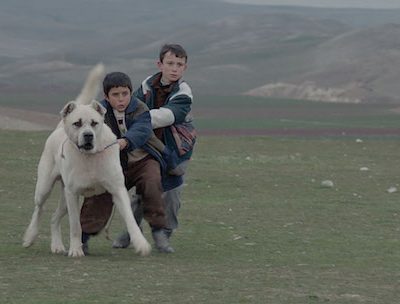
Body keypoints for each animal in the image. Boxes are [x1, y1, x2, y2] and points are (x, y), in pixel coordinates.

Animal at [23, 63, 152, 256]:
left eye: (94, 123)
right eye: (77, 123)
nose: (88, 135)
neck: (90, 157)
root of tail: (59, 128)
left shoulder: (117, 190)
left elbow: (130, 220)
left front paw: (141, 243)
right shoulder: (73, 193)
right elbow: (76, 225)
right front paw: (76, 250)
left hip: (64, 198)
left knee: (54, 217)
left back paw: (57, 245)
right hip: (45, 188)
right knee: (39, 209)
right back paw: (30, 237)